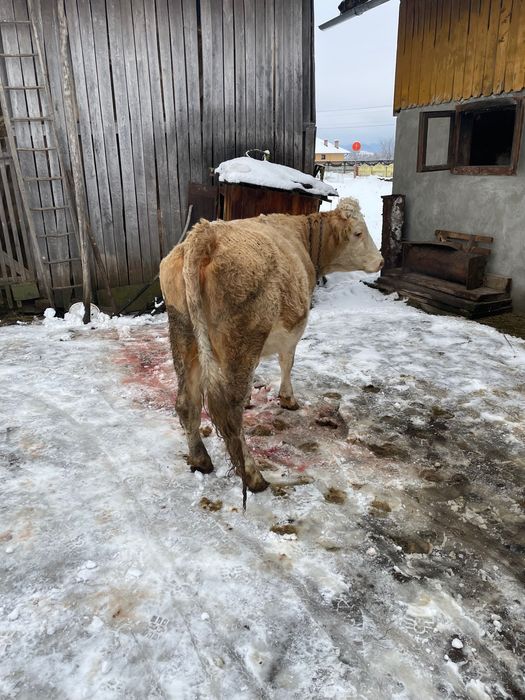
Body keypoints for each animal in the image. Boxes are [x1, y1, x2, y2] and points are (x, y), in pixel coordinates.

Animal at [159, 198, 383, 506]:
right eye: (359, 232)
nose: (381, 261)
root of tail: (205, 234)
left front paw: (253, 398)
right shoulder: (293, 329)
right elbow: (287, 361)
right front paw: (288, 399)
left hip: (183, 332)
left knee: (187, 402)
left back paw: (200, 460)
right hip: (242, 338)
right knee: (229, 411)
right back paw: (254, 477)